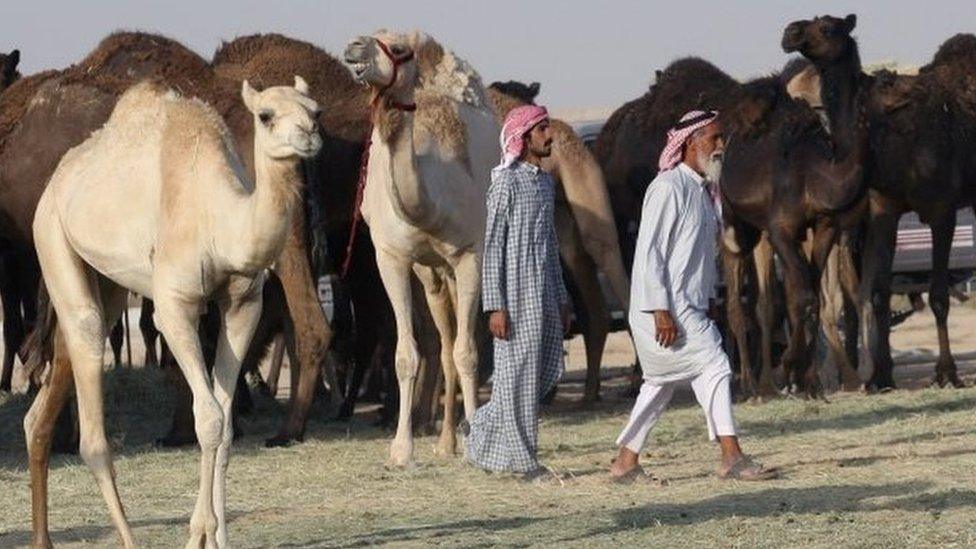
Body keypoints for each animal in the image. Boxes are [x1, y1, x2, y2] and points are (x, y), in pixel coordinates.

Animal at [31, 77, 321, 547]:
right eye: (265, 115)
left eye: (316, 110)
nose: (309, 134)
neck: (220, 219)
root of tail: (59, 176)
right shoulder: (174, 307)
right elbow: (209, 418)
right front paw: (200, 532)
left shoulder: (244, 305)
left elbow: (226, 425)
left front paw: (218, 537)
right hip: (51, 234)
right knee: (91, 416)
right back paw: (127, 538)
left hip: (108, 280)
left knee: (53, 379)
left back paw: (43, 536)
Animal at [343, 30, 499, 465]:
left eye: (398, 50)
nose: (353, 47)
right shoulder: (392, 258)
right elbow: (405, 355)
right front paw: (401, 448)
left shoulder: (470, 255)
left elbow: (468, 352)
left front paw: (475, 443)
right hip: (430, 272)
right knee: (443, 343)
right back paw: (445, 441)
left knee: (458, 343)